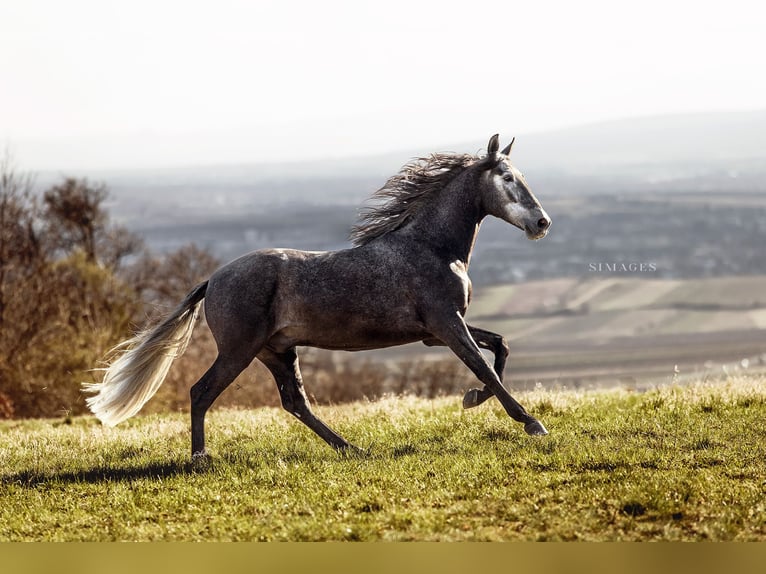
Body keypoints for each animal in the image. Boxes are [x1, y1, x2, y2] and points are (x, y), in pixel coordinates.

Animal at [84, 134, 552, 460]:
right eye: (507, 178)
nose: (542, 223)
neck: (432, 247)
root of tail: (214, 279)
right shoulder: (445, 323)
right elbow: (484, 366)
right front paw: (531, 422)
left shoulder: (434, 332)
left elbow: (499, 349)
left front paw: (472, 399)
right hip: (240, 349)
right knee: (202, 392)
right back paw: (200, 457)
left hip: (276, 351)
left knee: (295, 402)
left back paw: (352, 448)